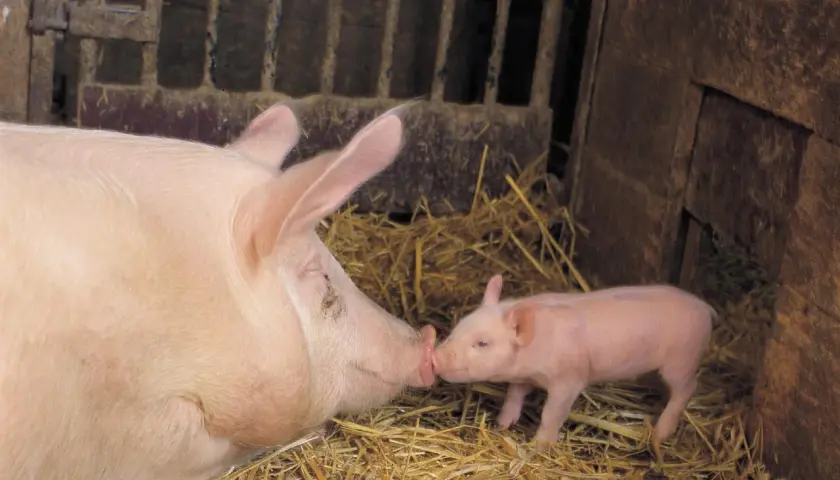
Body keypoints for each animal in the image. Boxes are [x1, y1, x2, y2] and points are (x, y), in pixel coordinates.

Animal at [432, 274, 716, 461]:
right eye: (458, 327)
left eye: (483, 343)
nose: (435, 357)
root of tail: (706, 308)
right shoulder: (525, 376)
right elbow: (514, 394)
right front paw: (501, 425)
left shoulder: (569, 381)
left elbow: (551, 414)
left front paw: (538, 448)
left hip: (682, 359)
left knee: (688, 388)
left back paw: (660, 433)